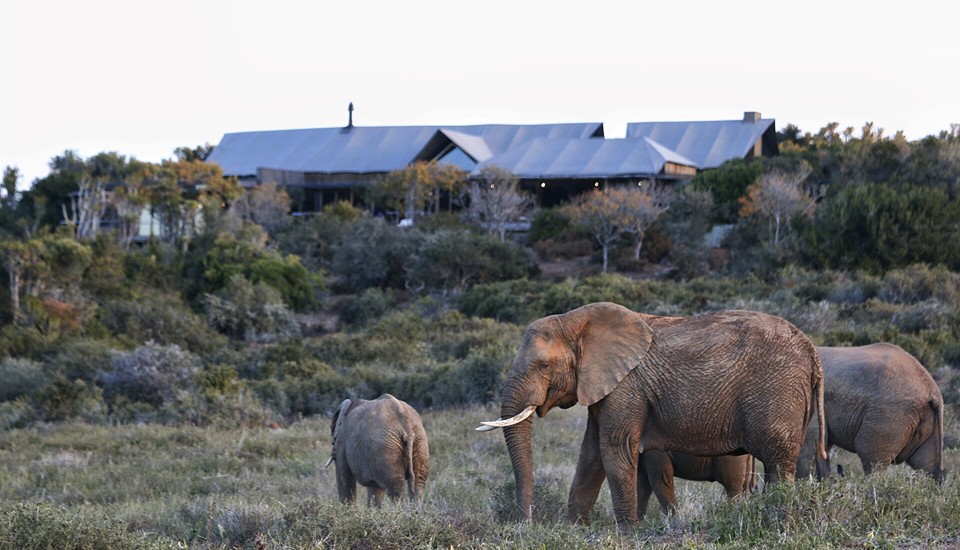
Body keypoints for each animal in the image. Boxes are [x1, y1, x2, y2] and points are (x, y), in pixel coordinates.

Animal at [480, 304, 824, 528]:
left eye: (543, 366)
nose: (526, 522)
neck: (577, 321)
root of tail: (812, 351)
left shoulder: (627, 385)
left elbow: (614, 448)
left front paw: (627, 531)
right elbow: (591, 454)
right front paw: (572, 529)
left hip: (778, 393)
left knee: (778, 465)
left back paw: (776, 527)